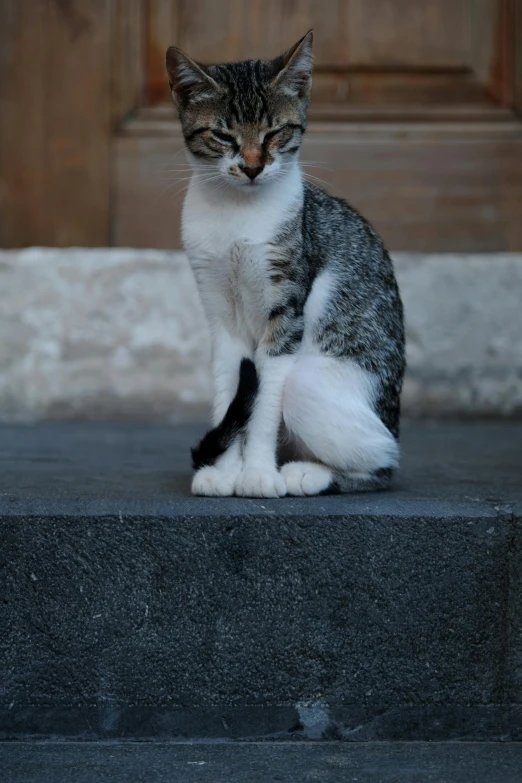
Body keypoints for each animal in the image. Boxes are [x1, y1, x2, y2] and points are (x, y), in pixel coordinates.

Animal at [165, 33, 404, 500]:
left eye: (275, 132)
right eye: (223, 135)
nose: (253, 167)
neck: (237, 214)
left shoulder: (286, 310)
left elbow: (263, 400)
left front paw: (257, 474)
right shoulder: (220, 314)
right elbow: (231, 391)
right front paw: (223, 471)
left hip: (314, 383)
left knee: (383, 460)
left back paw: (308, 473)